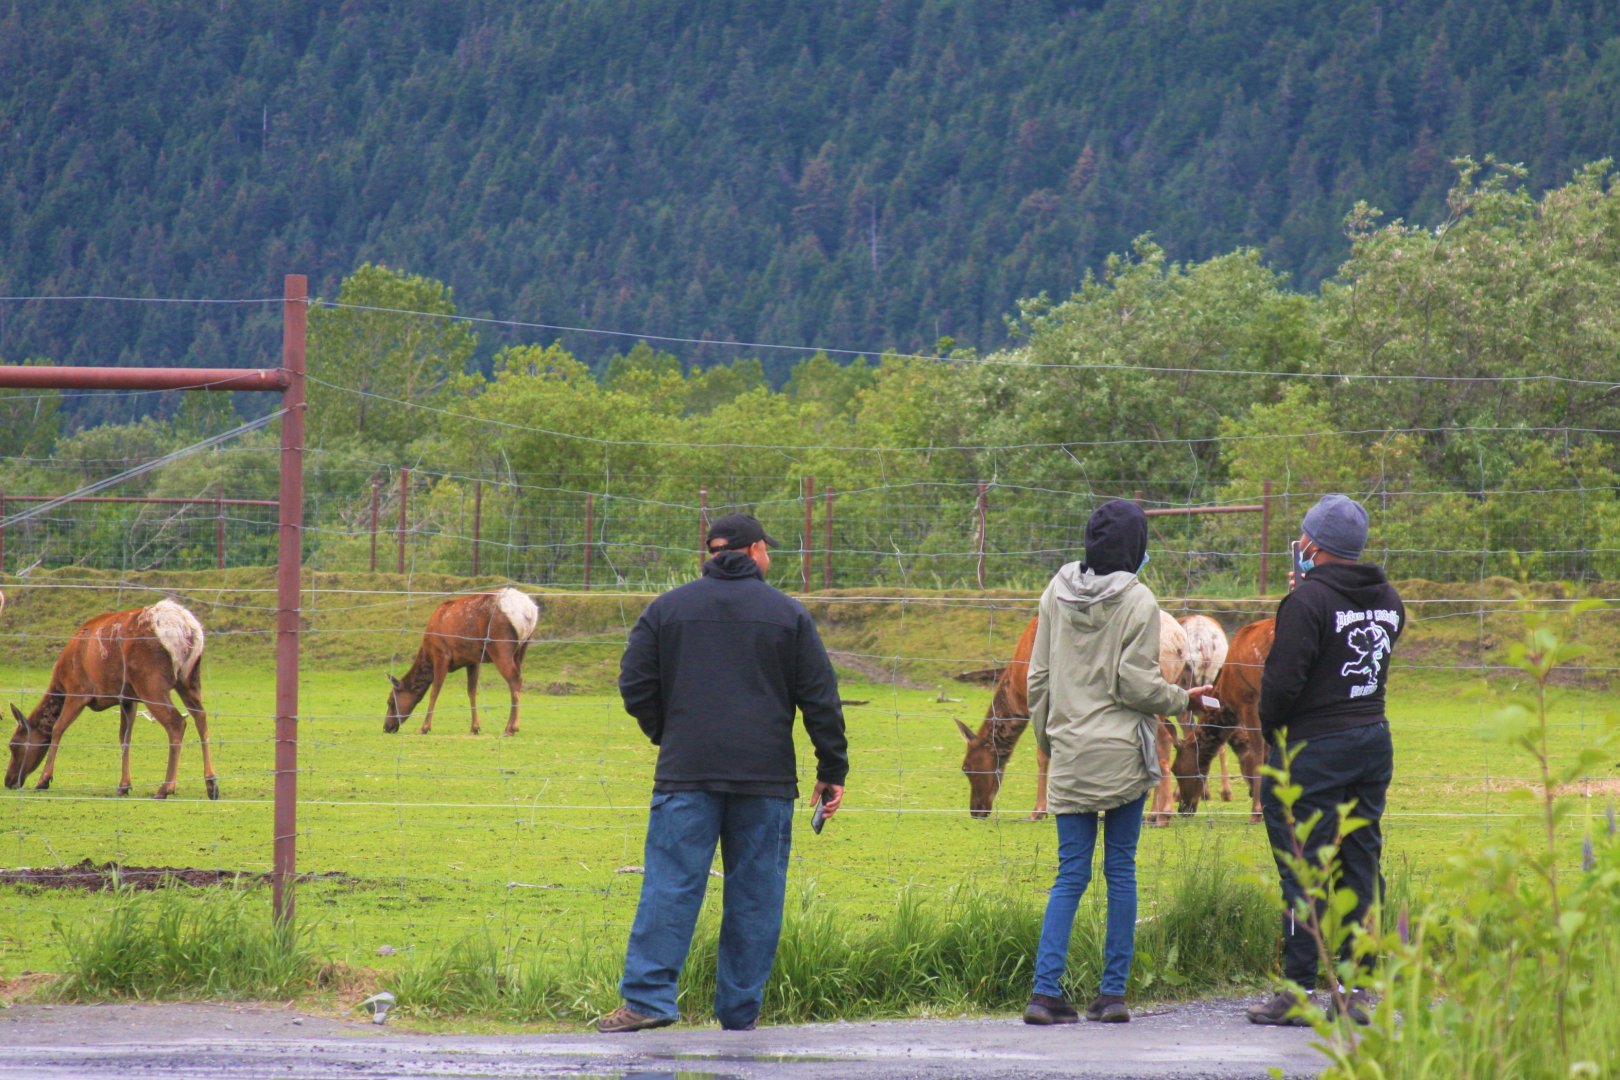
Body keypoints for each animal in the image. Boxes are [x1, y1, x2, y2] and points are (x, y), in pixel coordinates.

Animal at [5, 599, 216, 800]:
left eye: (14, 744)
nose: (9, 781)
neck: (60, 682)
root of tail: (187, 629)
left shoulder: (78, 690)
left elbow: (57, 728)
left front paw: (43, 780)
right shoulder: (127, 698)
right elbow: (125, 737)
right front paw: (123, 785)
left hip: (150, 681)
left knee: (177, 722)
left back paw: (165, 788)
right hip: (189, 679)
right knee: (201, 717)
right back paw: (211, 784)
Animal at [384, 588, 541, 736]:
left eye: (391, 701)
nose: (386, 727)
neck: (427, 651)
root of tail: (530, 611)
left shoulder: (441, 655)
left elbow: (434, 691)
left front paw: (425, 727)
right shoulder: (472, 660)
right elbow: (471, 691)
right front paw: (475, 727)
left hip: (500, 645)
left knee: (514, 679)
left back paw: (511, 728)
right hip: (522, 648)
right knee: (518, 679)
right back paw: (511, 726)